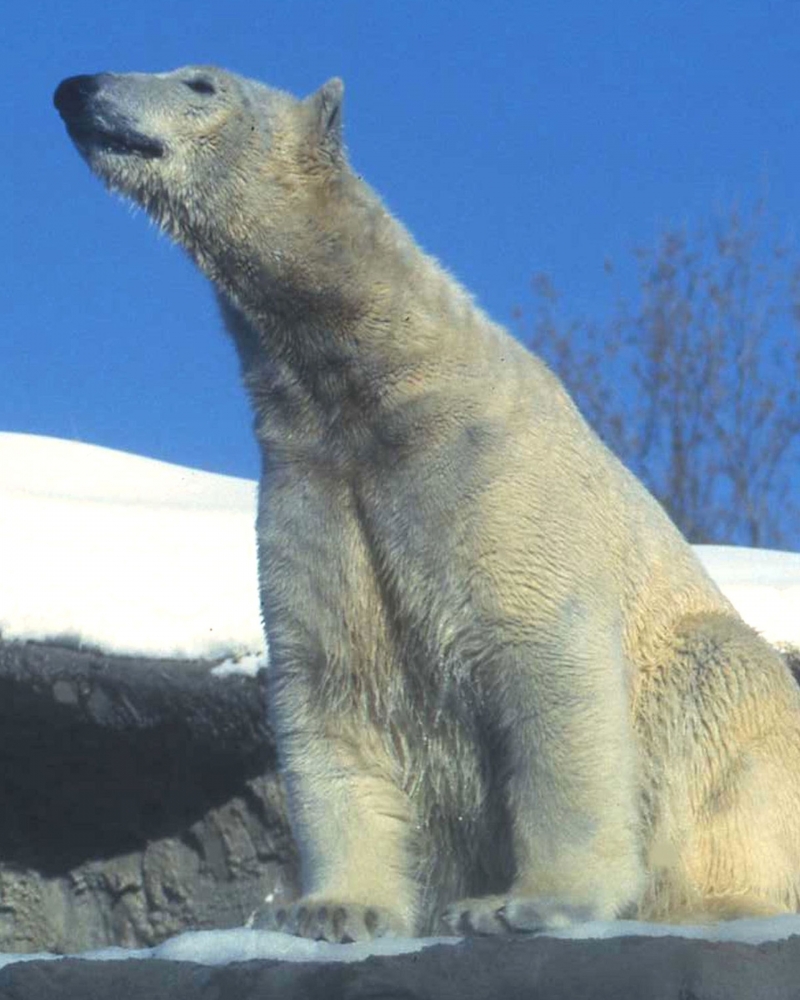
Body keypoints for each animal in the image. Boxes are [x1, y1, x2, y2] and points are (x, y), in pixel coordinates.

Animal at [54, 66, 800, 942]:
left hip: (728, 703)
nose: (78, 87)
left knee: (722, 691)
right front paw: (333, 907)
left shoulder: (492, 481)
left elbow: (553, 673)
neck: (367, 383)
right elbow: (330, 683)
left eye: (201, 83)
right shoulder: (316, 490)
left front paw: (516, 902)